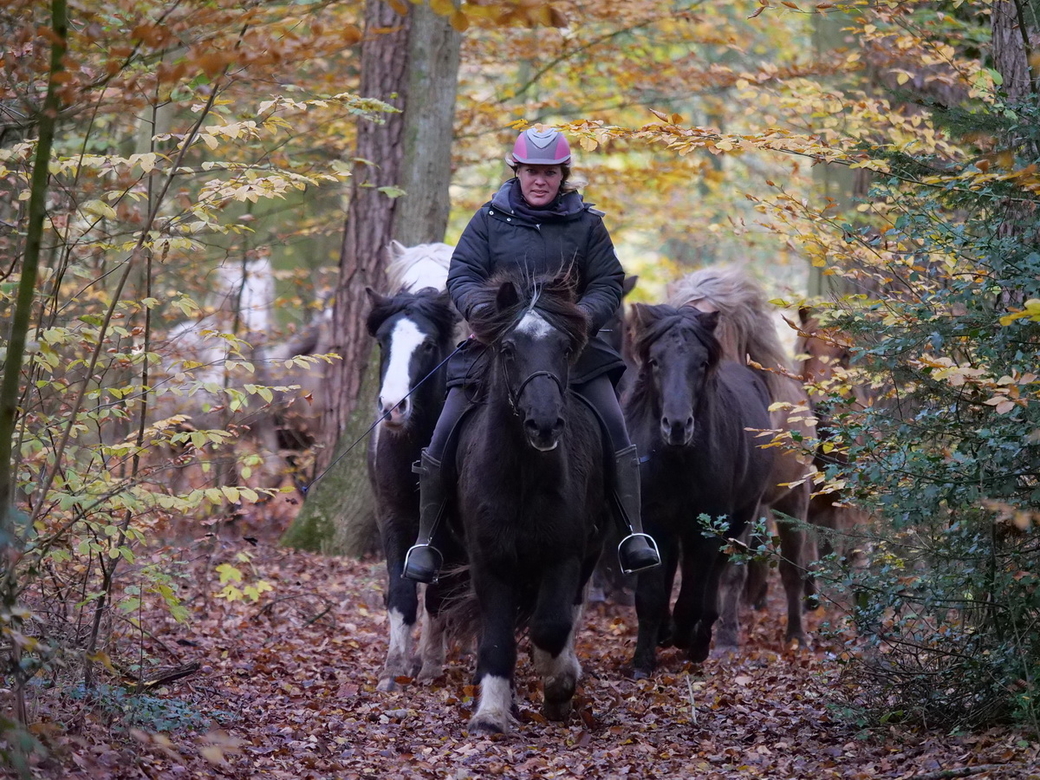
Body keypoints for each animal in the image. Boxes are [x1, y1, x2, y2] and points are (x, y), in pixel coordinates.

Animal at [619, 301, 777, 678]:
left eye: (702, 363)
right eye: (655, 361)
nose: (677, 426)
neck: (677, 460)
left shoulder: (705, 528)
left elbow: (693, 595)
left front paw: (684, 636)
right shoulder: (654, 520)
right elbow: (651, 595)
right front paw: (643, 660)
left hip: (739, 517)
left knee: (715, 576)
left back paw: (699, 640)